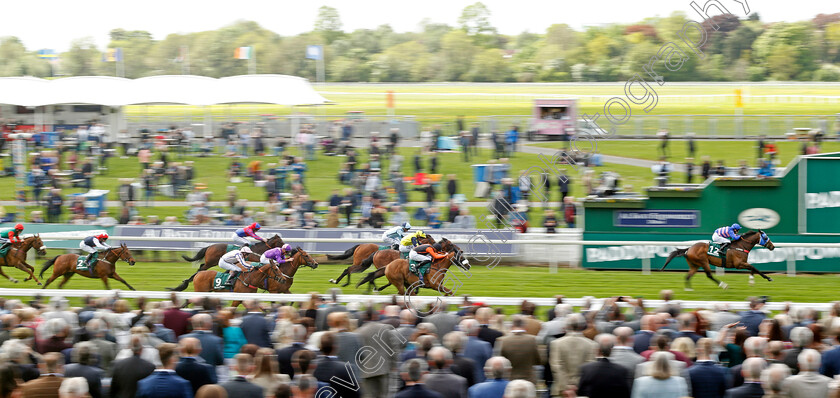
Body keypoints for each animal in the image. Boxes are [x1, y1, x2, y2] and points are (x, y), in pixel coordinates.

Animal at [192, 246, 320, 308]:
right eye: (306, 256)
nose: (316, 264)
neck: (285, 272)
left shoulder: (285, 290)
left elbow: (292, 300)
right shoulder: (273, 291)